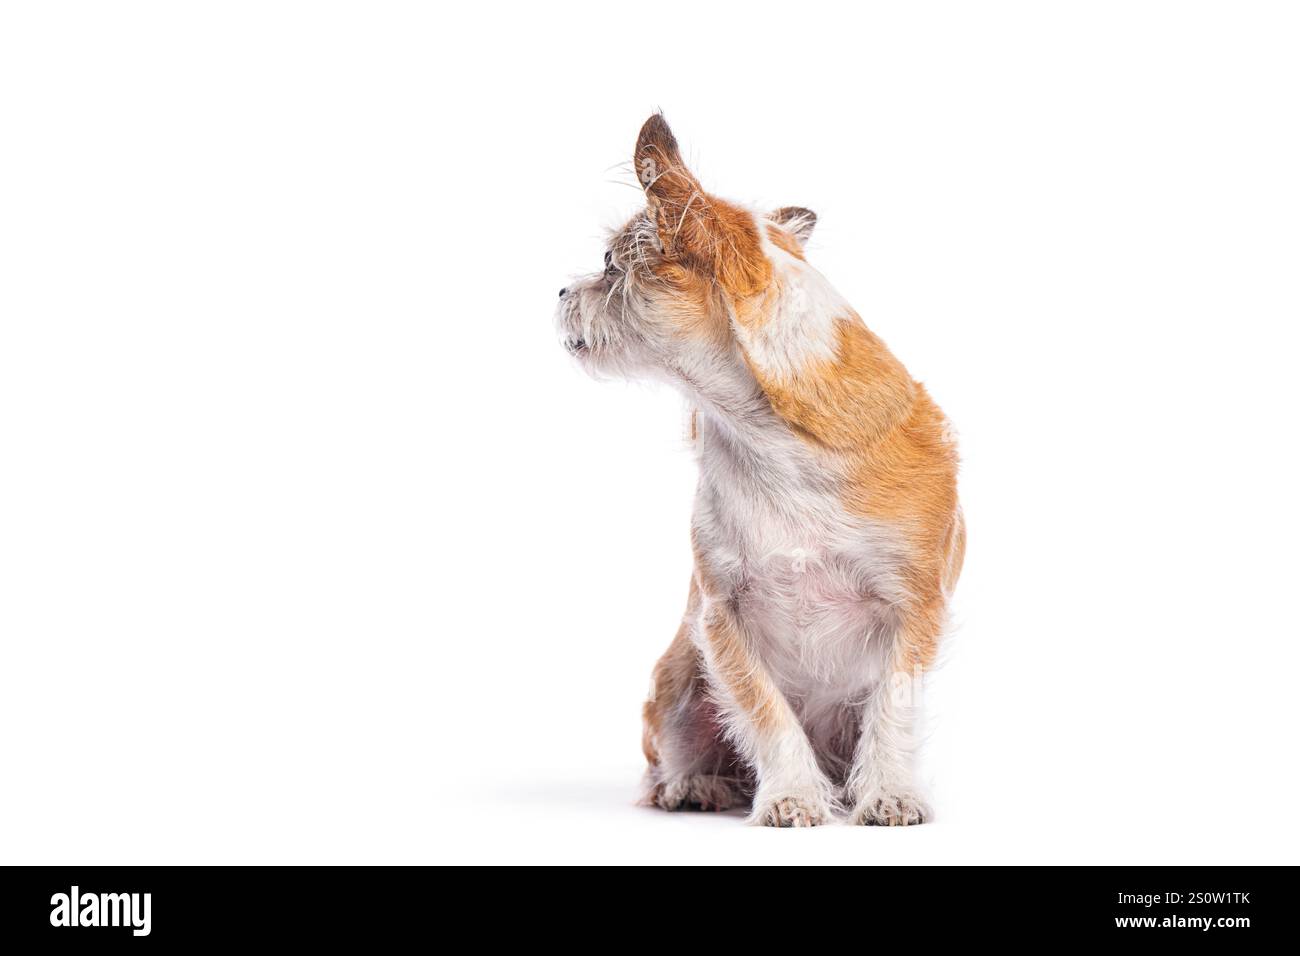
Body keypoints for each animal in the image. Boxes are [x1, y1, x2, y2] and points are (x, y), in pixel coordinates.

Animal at [553, 115, 961, 827]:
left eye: (607, 267)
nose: (560, 292)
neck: (765, 439)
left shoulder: (915, 609)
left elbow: (894, 707)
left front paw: (890, 793)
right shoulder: (723, 618)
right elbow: (766, 713)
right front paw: (793, 795)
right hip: (680, 684)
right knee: (672, 754)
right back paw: (695, 784)